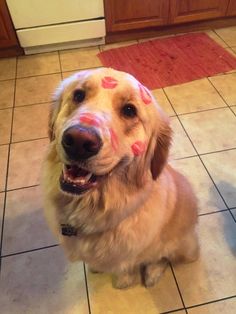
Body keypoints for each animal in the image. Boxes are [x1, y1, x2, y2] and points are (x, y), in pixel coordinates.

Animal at [41, 67, 198, 288]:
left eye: (129, 110)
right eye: (78, 95)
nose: (79, 141)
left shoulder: (129, 255)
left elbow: (127, 268)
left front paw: (123, 282)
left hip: (183, 246)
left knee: (163, 257)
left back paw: (152, 273)